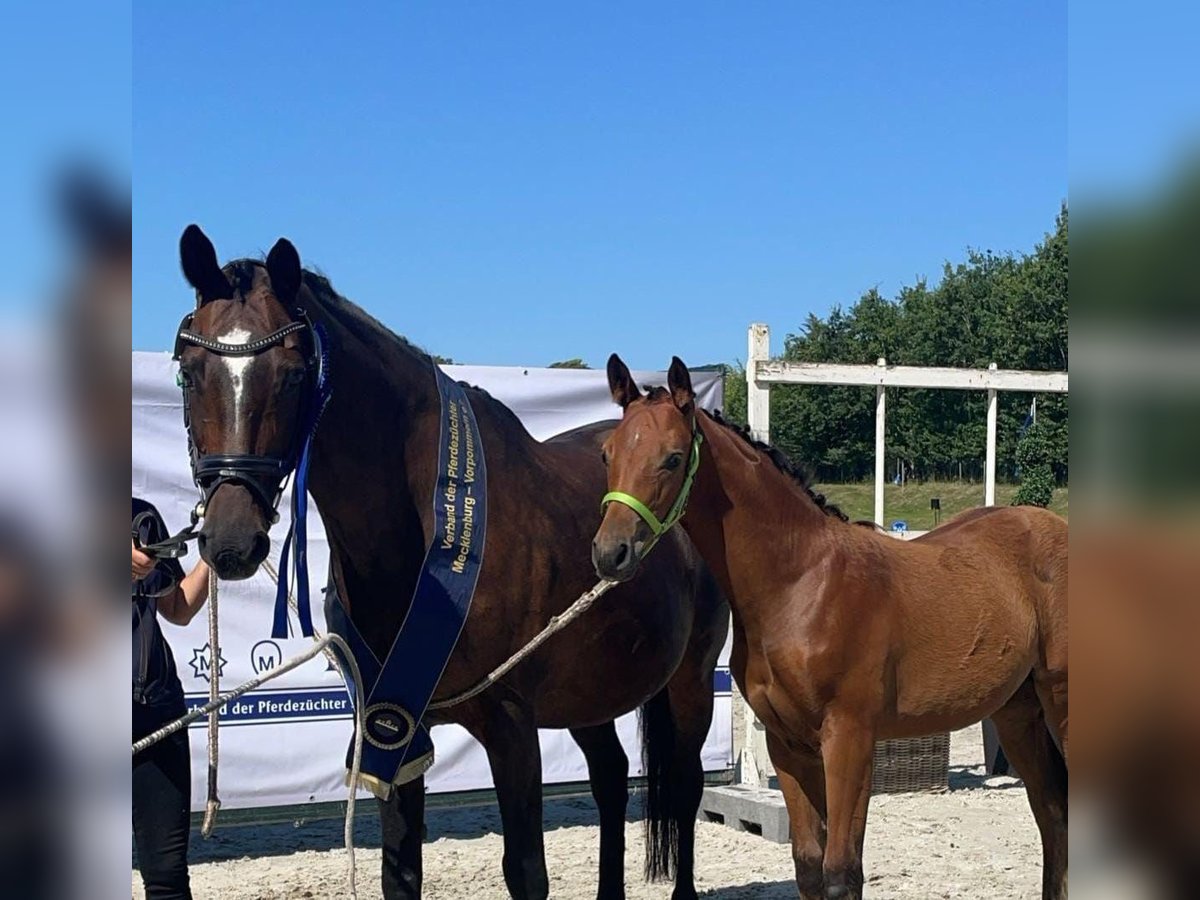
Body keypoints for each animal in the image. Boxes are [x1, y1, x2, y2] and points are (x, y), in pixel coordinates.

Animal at [172, 226, 724, 900]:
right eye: (189, 371)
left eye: (294, 374)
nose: (230, 540)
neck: (421, 542)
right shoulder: (391, 727)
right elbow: (400, 871)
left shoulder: (511, 726)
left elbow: (526, 871)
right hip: (588, 691)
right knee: (611, 777)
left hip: (690, 681)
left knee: (686, 784)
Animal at [590, 357, 1070, 900]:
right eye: (608, 453)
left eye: (672, 458)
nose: (610, 554)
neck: (801, 583)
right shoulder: (788, 745)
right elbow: (808, 864)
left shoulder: (849, 738)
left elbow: (842, 871)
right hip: (1018, 712)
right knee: (1052, 813)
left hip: (1061, 703)